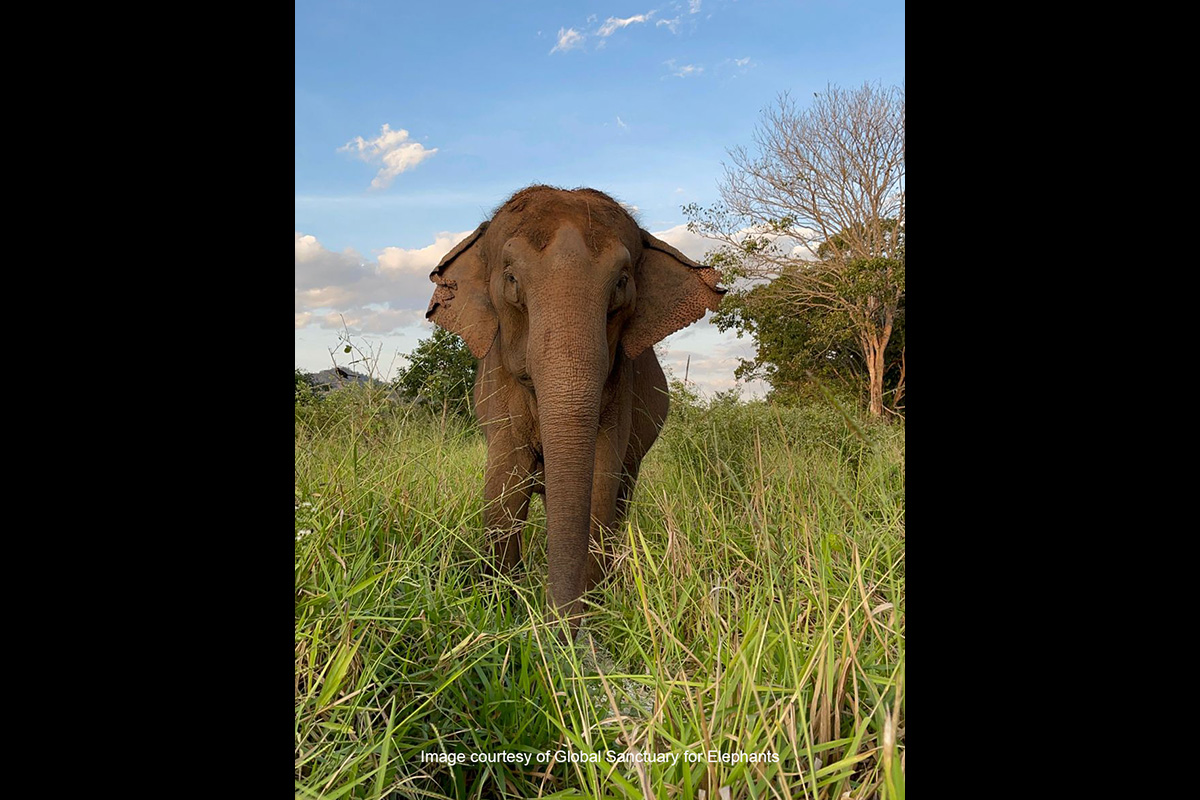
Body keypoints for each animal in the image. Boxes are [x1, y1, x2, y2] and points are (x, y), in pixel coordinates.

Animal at [426, 185, 724, 631]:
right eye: (511, 280)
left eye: (621, 283)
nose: (559, 624)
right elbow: (505, 482)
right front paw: (502, 607)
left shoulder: (620, 386)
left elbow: (600, 481)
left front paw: (591, 612)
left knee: (621, 495)